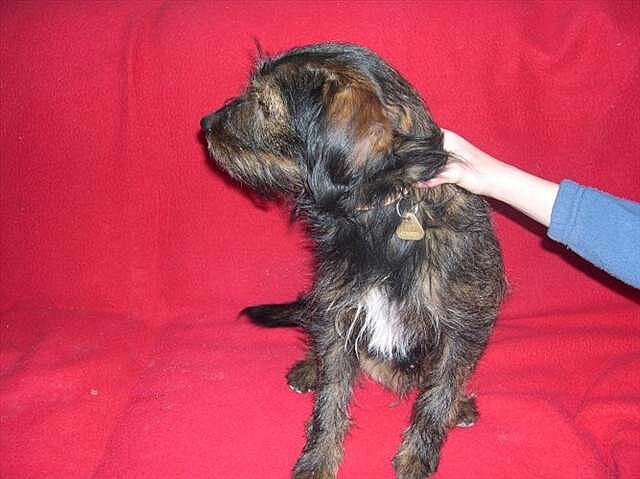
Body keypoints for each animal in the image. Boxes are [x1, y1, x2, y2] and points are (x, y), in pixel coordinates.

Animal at [201, 42, 505, 479]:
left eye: (263, 104)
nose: (205, 124)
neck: (384, 213)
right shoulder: (337, 313)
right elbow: (330, 395)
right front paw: (318, 459)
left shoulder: (462, 324)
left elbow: (439, 393)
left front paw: (417, 458)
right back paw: (308, 368)